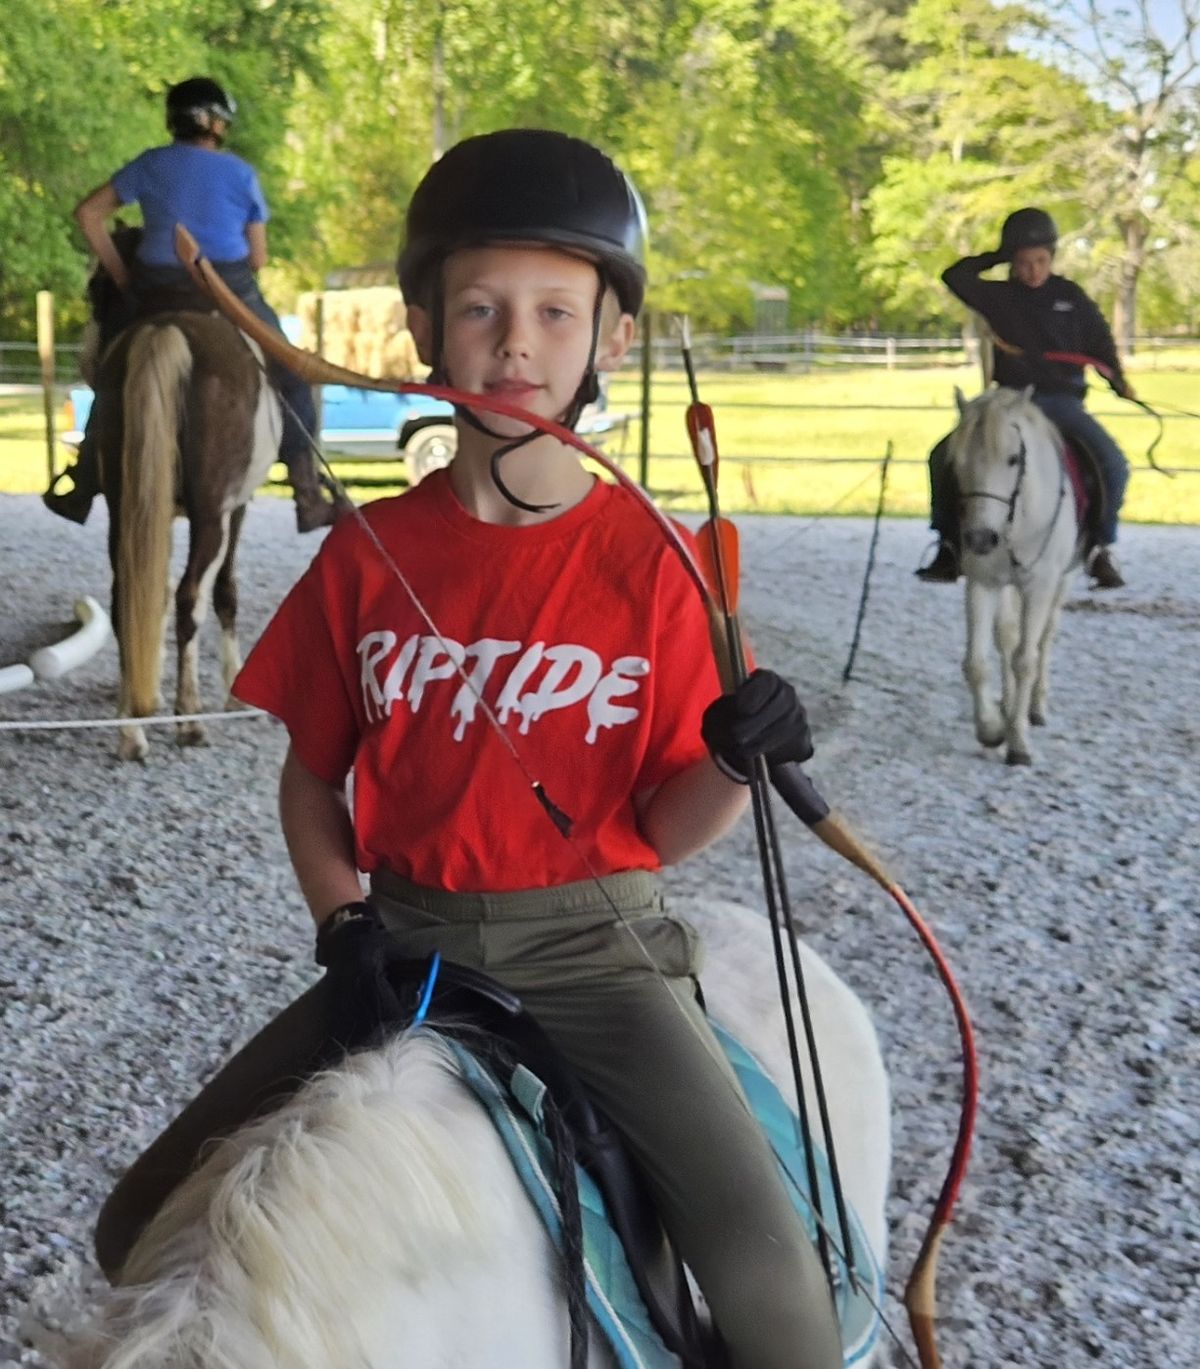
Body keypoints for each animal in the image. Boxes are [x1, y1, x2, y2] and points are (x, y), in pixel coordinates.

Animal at [88, 225, 280, 761]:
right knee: (190, 597)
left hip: (123, 509)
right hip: (212, 516)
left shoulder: (150, 511)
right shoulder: (236, 509)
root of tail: (166, 330)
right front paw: (237, 693)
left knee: (126, 596)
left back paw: (131, 730)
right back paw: (190, 719)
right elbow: (225, 591)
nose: (87, 359)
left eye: (95, 290)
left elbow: (149, 593)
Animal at [952, 386, 1083, 766]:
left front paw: (1019, 744)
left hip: (1063, 580)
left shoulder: (1040, 586)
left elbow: (1027, 659)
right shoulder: (982, 582)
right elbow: (977, 662)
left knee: (1045, 638)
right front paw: (991, 728)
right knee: (1007, 638)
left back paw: (1035, 709)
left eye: (1013, 459)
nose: (981, 539)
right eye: (957, 463)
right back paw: (1009, 706)